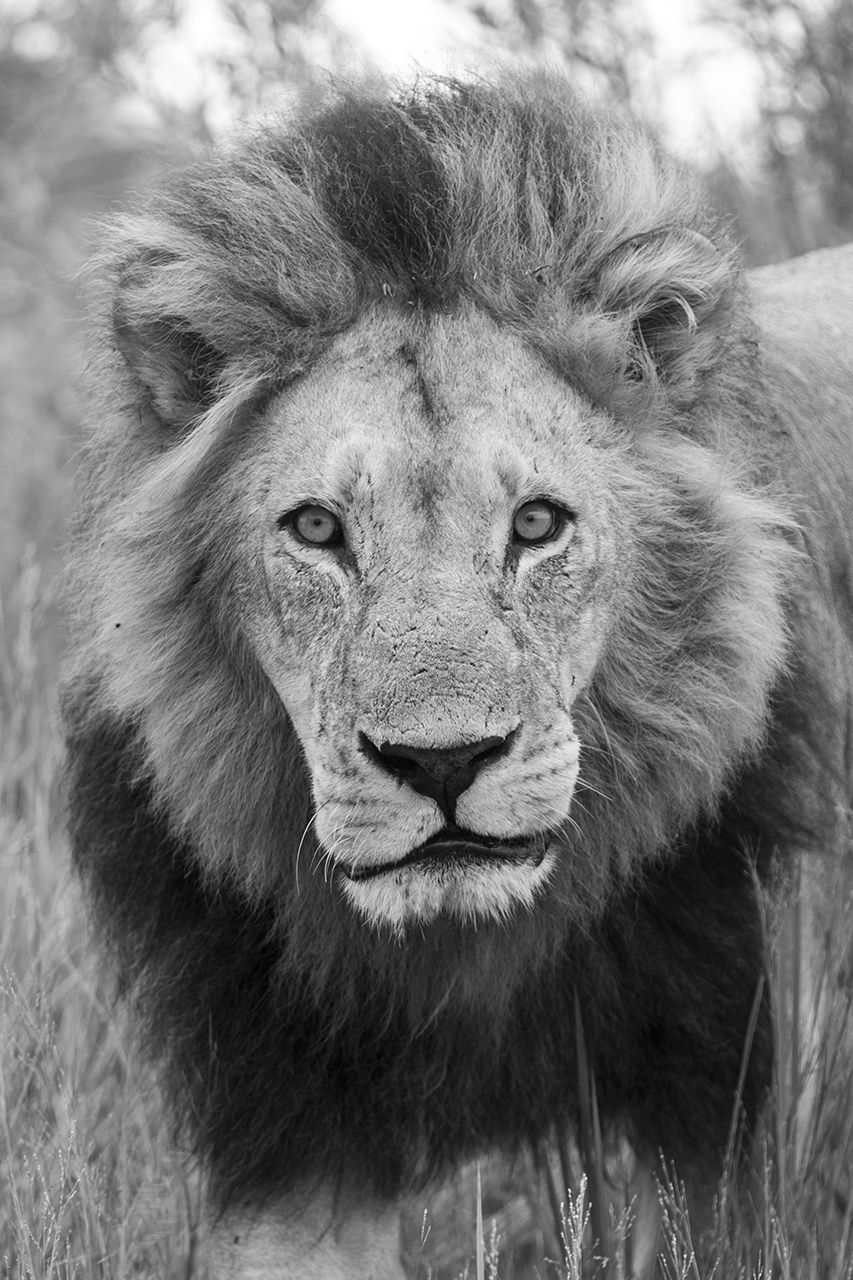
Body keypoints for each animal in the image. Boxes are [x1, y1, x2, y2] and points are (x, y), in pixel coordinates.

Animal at [63, 71, 853, 1278]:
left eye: (536, 523)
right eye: (317, 529)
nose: (441, 764)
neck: (466, 955)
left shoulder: (719, 1123)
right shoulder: (287, 1130)